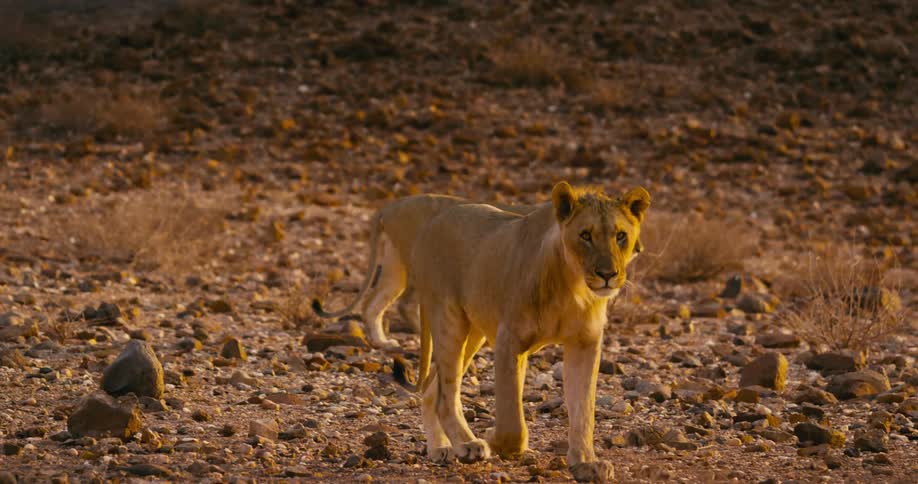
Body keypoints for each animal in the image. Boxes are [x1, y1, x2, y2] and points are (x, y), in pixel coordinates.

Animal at [312, 194, 643, 349]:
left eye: (622, 234)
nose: (638, 249)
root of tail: (390, 206)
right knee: (406, 305)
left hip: (396, 266)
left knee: (373, 303)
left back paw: (383, 342)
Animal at [396, 182, 649, 482]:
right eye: (585, 235)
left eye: (621, 236)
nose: (607, 274)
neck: (573, 287)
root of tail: (431, 225)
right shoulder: (509, 340)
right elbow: (512, 423)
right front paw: (494, 438)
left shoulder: (585, 343)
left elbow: (583, 409)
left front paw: (587, 462)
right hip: (449, 319)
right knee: (445, 394)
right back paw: (468, 445)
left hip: (474, 332)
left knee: (433, 386)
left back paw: (441, 448)